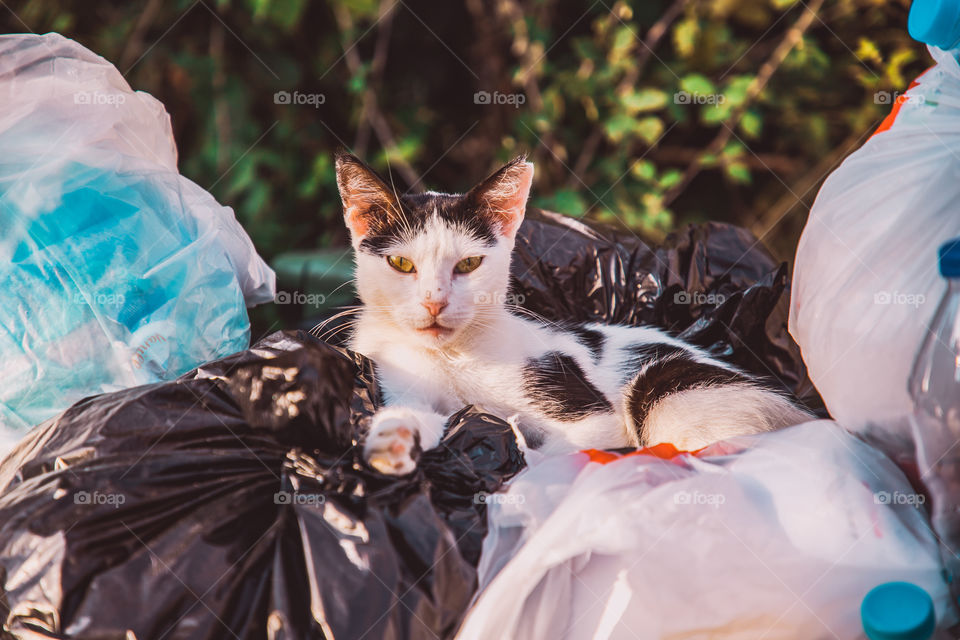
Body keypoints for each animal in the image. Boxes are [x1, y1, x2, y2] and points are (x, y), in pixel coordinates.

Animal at [334, 152, 812, 472]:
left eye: (468, 264)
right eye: (401, 264)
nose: (435, 301)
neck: (449, 356)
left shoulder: (588, 412)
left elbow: (568, 447)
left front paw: (521, 460)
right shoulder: (397, 376)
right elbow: (417, 414)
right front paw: (392, 440)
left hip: (662, 384)